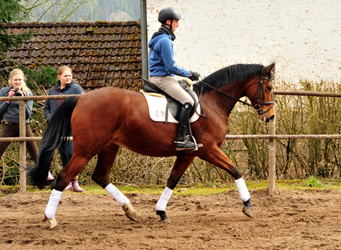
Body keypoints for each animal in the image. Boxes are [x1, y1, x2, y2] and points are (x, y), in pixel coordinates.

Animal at [27, 62, 274, 229]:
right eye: (270, 87)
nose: (270, 116)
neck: (211, 103)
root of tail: (82, 98)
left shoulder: (188, 154)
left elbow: (172, 180)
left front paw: (161, 212)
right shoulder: (208, 149)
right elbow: (236, 170)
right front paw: (248, 206)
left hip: (109, 146)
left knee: (100, 176)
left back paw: (130, 210)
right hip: (86, 149)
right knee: (64, 178)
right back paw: (50, 218)